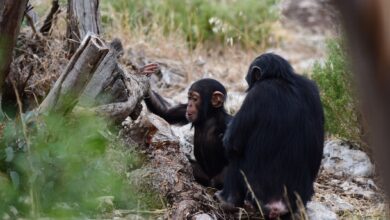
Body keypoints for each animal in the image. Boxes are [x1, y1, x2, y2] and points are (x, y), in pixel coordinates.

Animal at [215, 52, 324, 218]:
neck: (281, 79)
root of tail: (281, 206)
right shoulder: (312, 89)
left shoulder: (256, 95)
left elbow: (231, 142)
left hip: (258, 197)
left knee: (235, 159)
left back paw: (227, 201)